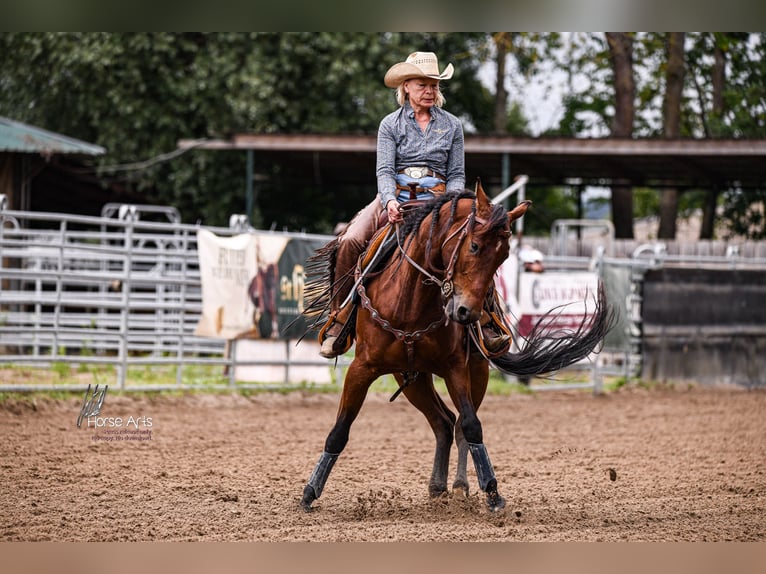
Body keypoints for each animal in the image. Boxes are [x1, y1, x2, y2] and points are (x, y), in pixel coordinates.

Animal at [299, 183, 613, 513]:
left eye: (503, 256)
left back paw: (459, 486)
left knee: (457, 423)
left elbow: (473, 426)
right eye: (473, 246)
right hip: (411, 378)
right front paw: (309, 493)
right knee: (443, 422)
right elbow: (339, 431)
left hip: (475, 371)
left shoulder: (455, 368)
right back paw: (438, 487)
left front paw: (492, 491)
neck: (409, 302)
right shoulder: (362, 368)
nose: (466, 313)